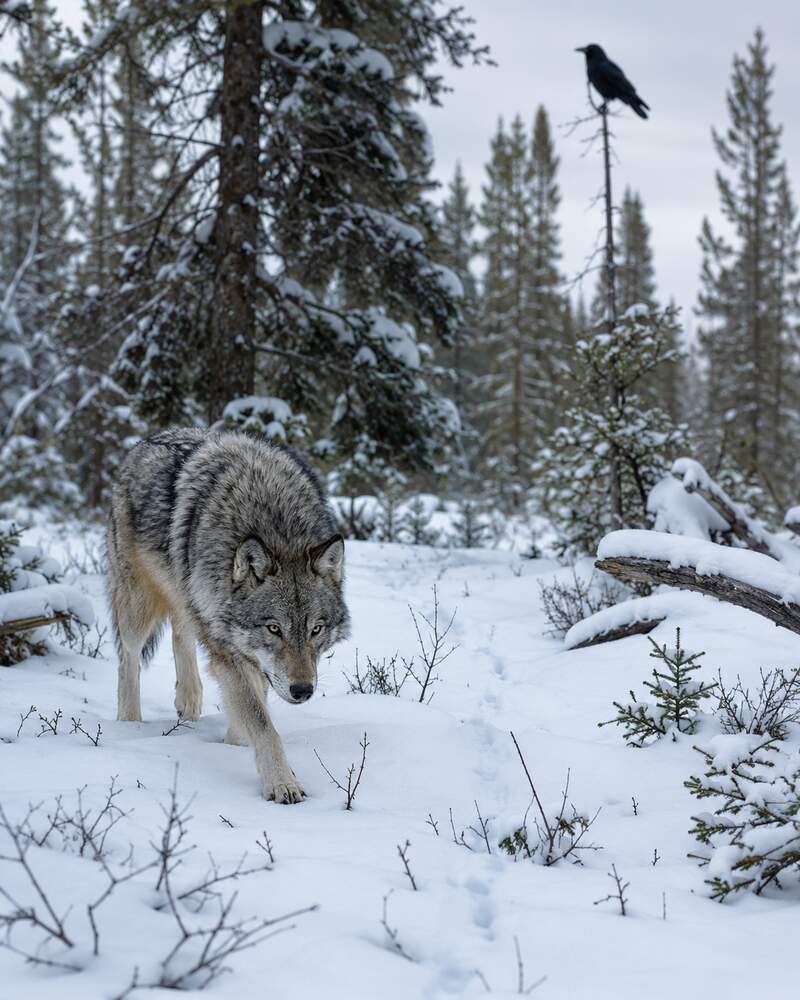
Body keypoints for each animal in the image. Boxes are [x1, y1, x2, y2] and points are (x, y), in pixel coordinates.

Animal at [107, 427, 350, 803]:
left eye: (316, 629)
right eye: (274, 628)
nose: (303, 690)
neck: (275, 527)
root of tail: (148, 439)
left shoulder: (250, 655)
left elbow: (254, 707)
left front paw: (234, 744)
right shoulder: (230, 651)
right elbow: (262, 724)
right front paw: (282, 784)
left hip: (187, 596)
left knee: (181, 633)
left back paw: (189, 700)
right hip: (138, 608)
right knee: (128, 659)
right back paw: (129, 724)